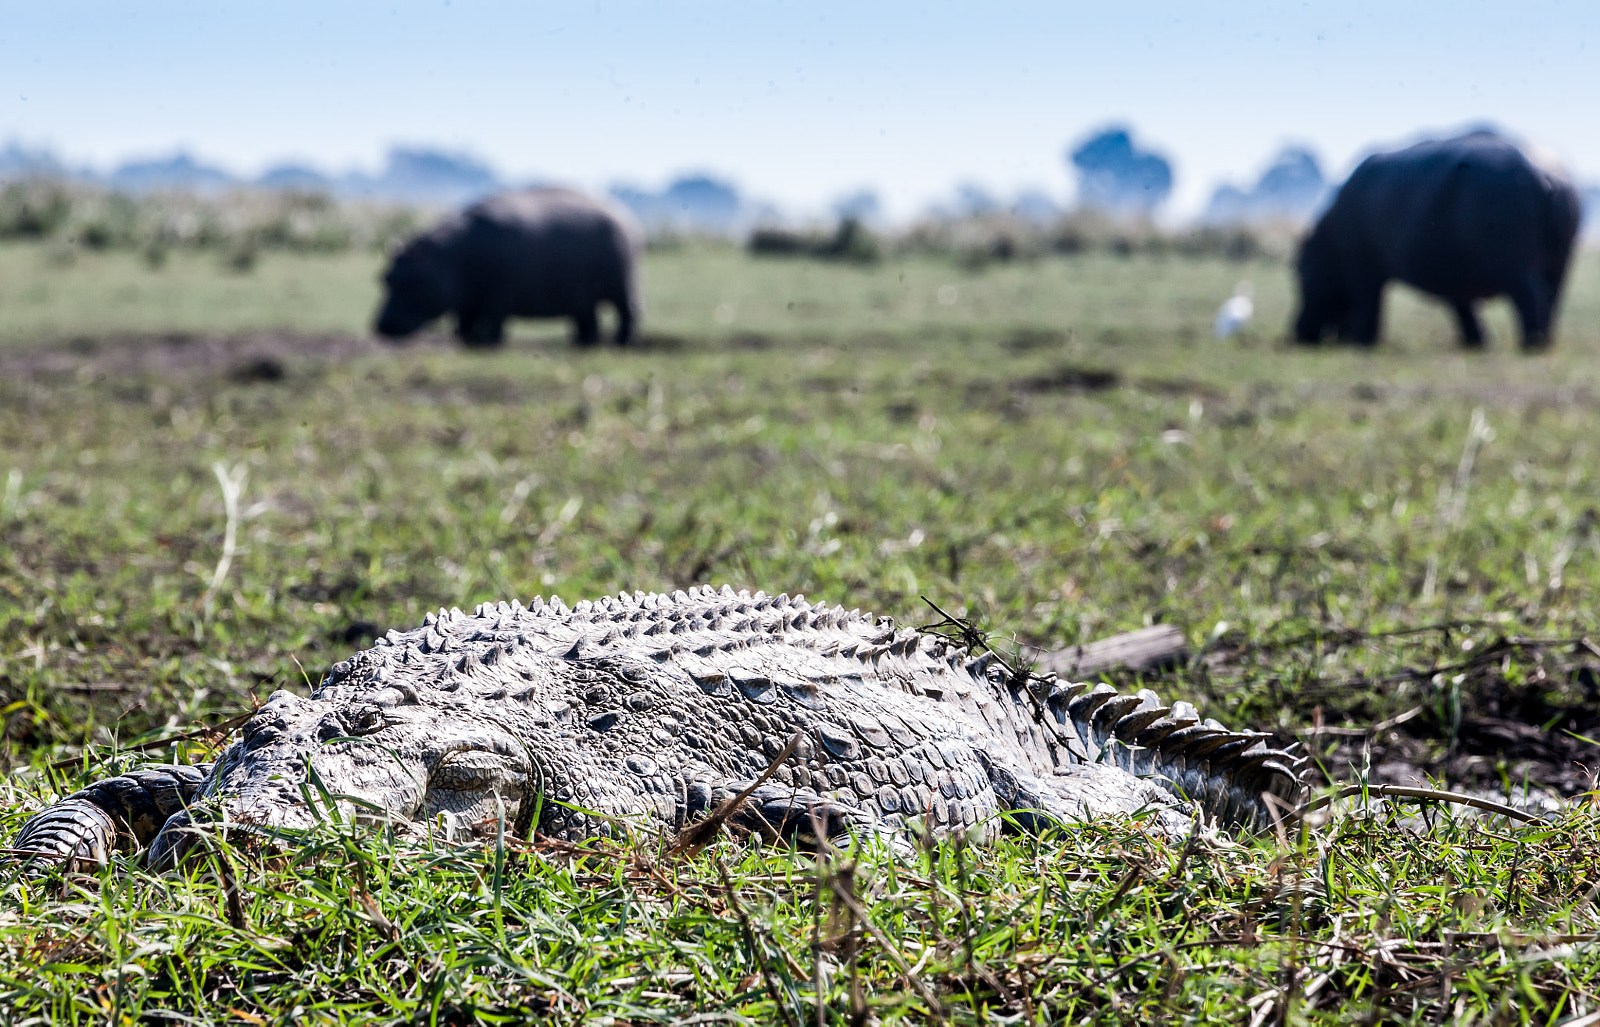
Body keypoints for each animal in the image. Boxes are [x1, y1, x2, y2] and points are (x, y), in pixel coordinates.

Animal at [375, 188, 642, 347]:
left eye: (413, 280)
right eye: (384, 277)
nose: (382, 325)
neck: (448, 256)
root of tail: (626, 216)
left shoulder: (498, 296)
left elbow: (494, 320)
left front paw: (490, 343)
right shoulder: (467, 300)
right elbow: (464, 322)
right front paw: (468, 341)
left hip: (621, 287)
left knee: (629, 312)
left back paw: (622, 342)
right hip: (584, 296)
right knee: (589, 321)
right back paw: (582, 343)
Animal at [1293, 132, 1581, 351]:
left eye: (1299, 273)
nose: (1295, 333)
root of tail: (1545, 175)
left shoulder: (1362, 269)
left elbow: (1369, 304)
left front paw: (1363, 343)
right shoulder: (1456, 276)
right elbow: (1465, 309)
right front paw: (1476, 343)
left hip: (1514, 265)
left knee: (1533, 296)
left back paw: (1531, 344)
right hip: (1559, 264)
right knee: (1553, 298)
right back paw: (1544, 341)